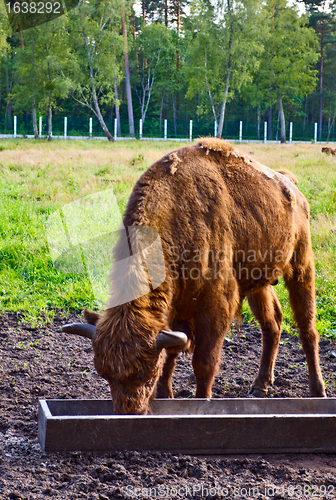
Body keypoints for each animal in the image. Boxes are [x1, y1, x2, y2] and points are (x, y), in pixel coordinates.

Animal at [62, 138, 326, 414]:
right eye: (105, 374)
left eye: (148, 373)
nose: (131, 411)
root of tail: (292, 187)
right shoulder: (174, 309)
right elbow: (171, 353)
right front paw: (166, 395)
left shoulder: (217, 305)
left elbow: (203, 361)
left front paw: (200, 400)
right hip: (259, 283)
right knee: (272, 323)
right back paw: (259, 387)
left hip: (301, 265)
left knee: (307, 328)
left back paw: (318, 391)